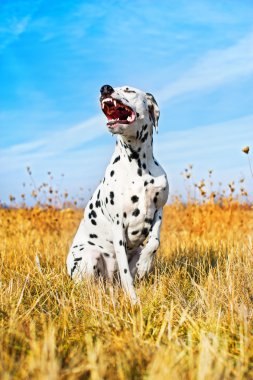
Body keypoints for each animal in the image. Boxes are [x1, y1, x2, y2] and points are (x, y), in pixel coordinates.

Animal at [66, 84, 169, 302]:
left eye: (129, 90)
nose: (105, 88)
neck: (138, 166)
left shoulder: (159, 210)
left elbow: (154, 242)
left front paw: (145, 264)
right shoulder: (118, 226)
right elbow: (125, 274)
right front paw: (134, 301)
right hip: (89, 256)